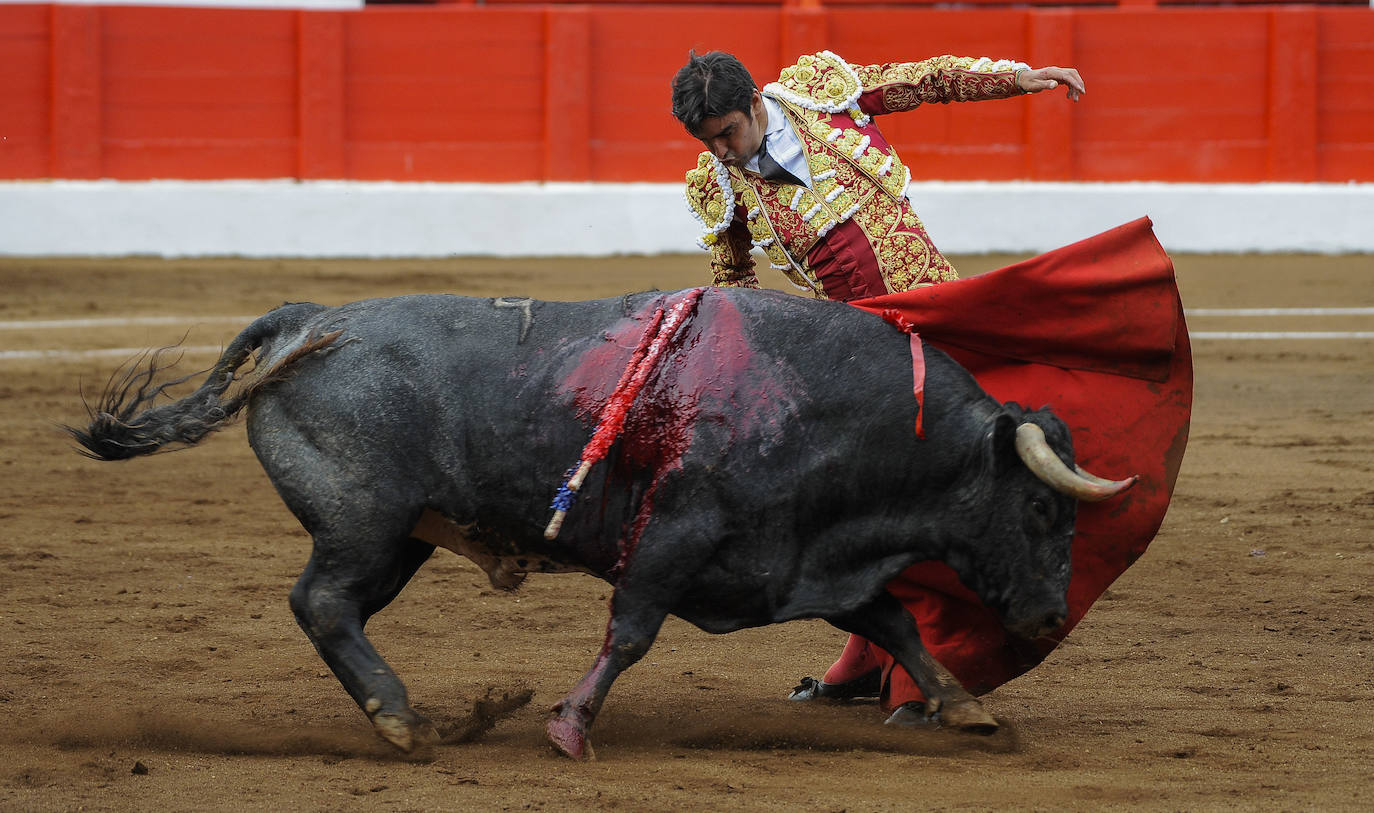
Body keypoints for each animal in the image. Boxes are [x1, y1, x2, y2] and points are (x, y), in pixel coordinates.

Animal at [69, 285, 1132, 758]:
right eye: (1041, 503)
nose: (1048, 615)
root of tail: (304, 319)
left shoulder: (804, 560)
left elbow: (898, 622)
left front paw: (966, 704)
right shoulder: (675, 538)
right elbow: (630, 631)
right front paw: (570, 727)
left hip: (399, 536)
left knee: (333, 608)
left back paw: (414, 714)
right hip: (366, 523)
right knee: (324, 602)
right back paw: (406, 720)